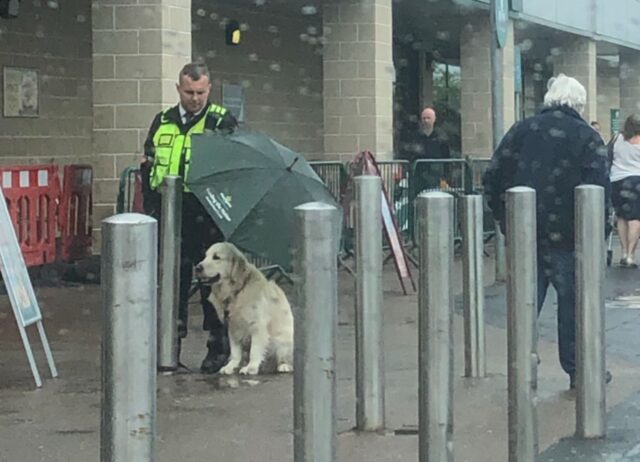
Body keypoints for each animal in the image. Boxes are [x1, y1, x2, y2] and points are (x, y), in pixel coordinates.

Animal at [195, 242, 296, 376]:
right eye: (205, 256)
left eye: (216, 257)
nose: (197, 267)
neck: (237, 291)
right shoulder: (232, 326)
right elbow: (235, 352)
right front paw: (231, 366)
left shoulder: (257, 325)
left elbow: (255, 350)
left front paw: (250, 367)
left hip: (282, 341)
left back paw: (284, 366)